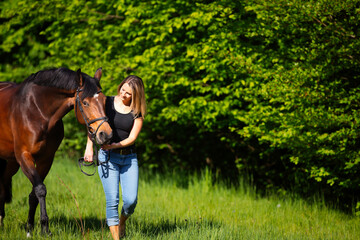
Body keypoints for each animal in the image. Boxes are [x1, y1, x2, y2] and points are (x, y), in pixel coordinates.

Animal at [0, 66, 112, 235]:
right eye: (85, 102)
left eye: (104, 100)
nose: (105, 134)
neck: (36, 111)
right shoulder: (24, 156)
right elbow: (40, 189)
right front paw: (45, 228)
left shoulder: (46, 159)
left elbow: (34, 194)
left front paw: (30, 228)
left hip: (10, 163)